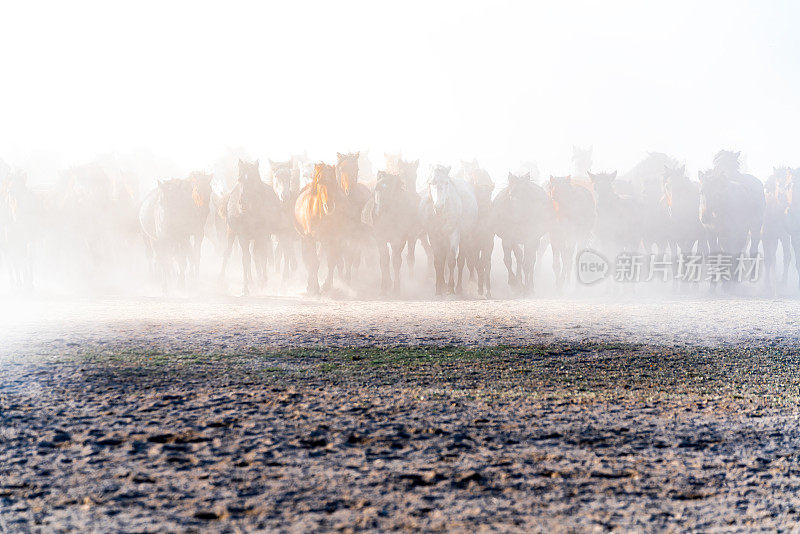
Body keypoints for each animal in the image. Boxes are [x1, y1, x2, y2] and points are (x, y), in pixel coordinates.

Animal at [219, 160, 282, 298]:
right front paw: (245, 287)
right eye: (240, 179)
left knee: (259, 255)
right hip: (231, 232)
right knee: (228, 252)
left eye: (253, 179)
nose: (242, 202)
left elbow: (261, 256)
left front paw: (262, 282)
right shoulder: (243, 236)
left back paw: (260, 281)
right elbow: (246, 259)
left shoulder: (262, 235)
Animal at [292, 164, 346, 298]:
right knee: (308, 260)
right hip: (306, 239)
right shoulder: (310, 239)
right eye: (319, 181)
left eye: (333, 180)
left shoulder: (334, 238)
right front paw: (315, 287)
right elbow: (313, 262)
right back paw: (310, 285)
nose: (329, 206)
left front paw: (326, 286)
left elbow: (331, 261)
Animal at [418, 164, 476, 296]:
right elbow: (438, 261)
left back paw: (459, 287)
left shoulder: (453, 234)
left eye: (446, 182)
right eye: (431, 182)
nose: (439, 207)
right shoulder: (434, 236)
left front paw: (450, 288)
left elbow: (451, 260)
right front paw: (439, 288)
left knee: (461, 260)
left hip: (465, 237)